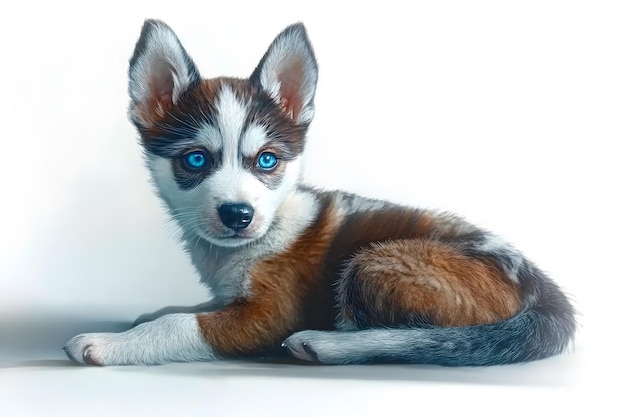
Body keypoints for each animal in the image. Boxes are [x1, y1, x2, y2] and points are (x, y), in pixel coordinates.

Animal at [64, 20, 576, 364]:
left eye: (267, 160)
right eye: (195, 160)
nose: (238, 215)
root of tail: (544, 290)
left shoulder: (267, 315)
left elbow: (180, 324)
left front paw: (108, 343)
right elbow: (190, 307)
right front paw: (145, 317)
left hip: (375, 262)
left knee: (424, 340)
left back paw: (325, 343)